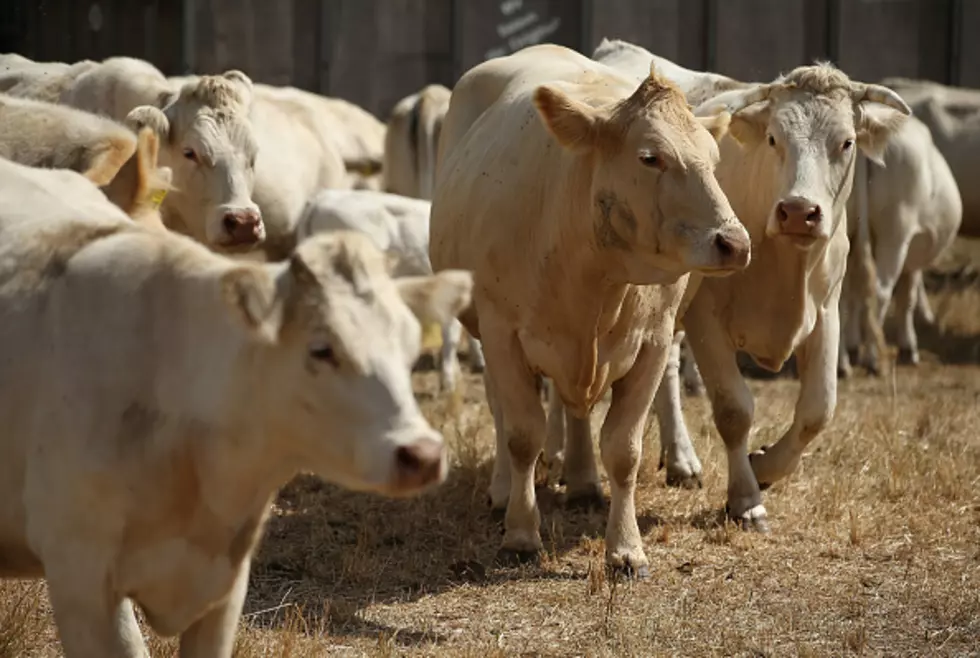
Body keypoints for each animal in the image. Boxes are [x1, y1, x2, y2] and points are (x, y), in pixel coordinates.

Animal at [428, 43, 752, 572]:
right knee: (502, 409)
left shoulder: (653, 342)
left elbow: (624, 448)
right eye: (651, 157)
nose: (735, 243)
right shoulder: (500, 331)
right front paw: (521, 532)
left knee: (573, 407)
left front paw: (626, 548)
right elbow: (522, 434)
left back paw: (582, 480)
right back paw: (504, 489)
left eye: (714, 158)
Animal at [840, 114, 960, 374]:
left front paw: (853, 345)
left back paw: (842, 362)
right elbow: (907, 297)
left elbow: (853, 296)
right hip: (896, 235)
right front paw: (908, 347)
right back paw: (873, 359)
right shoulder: (913, 250)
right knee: (881, 291)